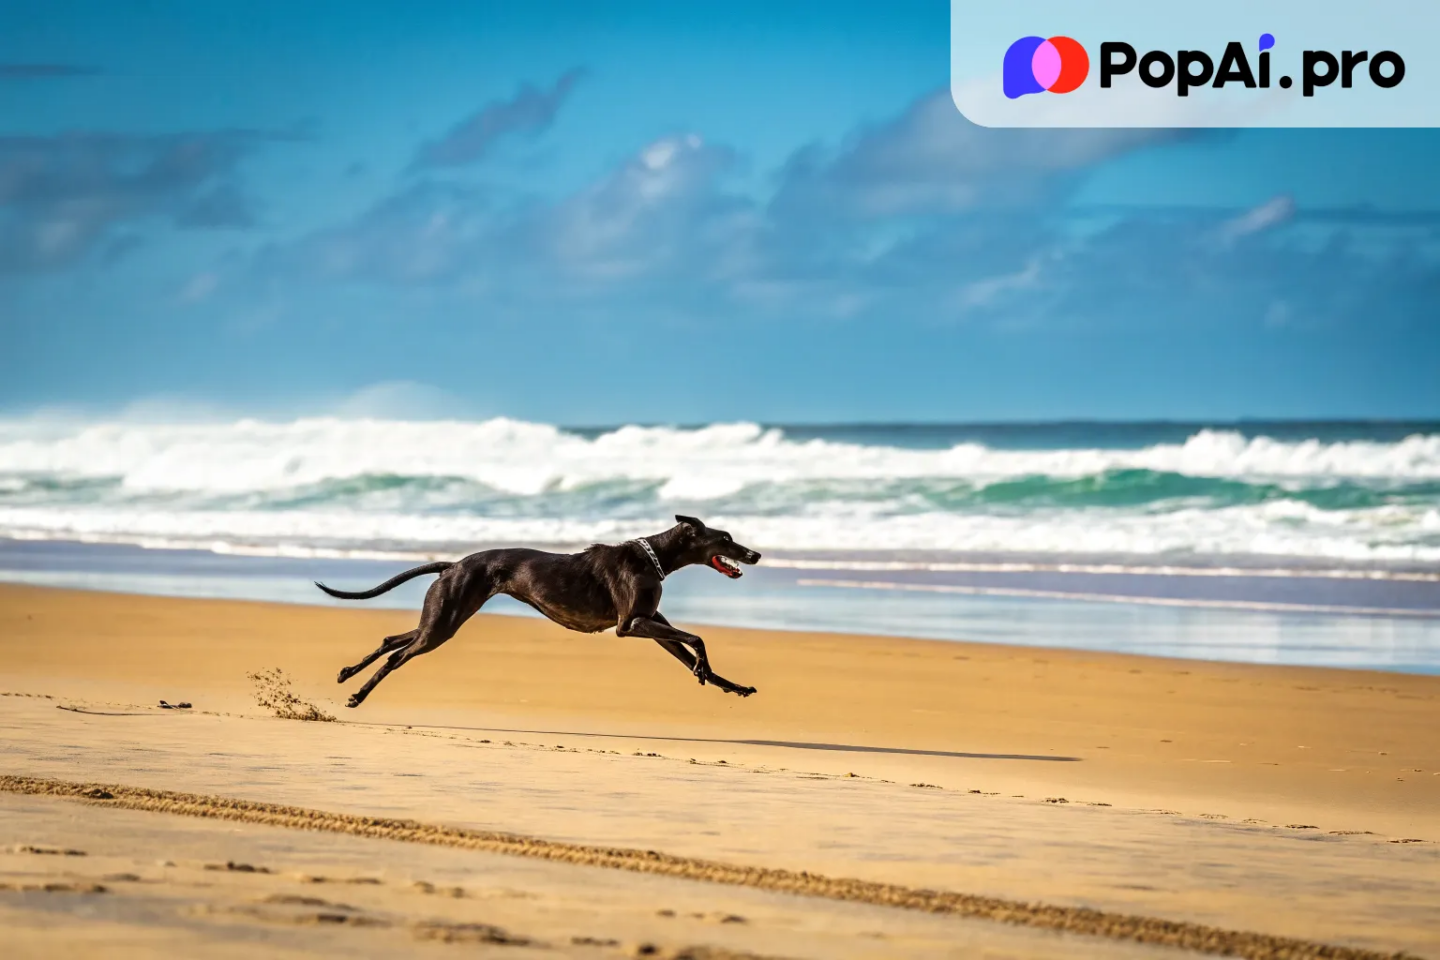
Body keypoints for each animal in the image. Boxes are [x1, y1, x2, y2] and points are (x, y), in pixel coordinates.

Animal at [318, 518, 766, 705]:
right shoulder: (631, 624)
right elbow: (698, 638)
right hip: (442, 624)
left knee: (391, 639)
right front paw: (705, 669)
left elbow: (687, 648)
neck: (653, 557)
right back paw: (358, 694)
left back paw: (346, 674)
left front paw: (729, 684)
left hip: (442, 618)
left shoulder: (652, 625)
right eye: (725, 538)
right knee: (397, 656)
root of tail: (454, 565)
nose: (756, 555)